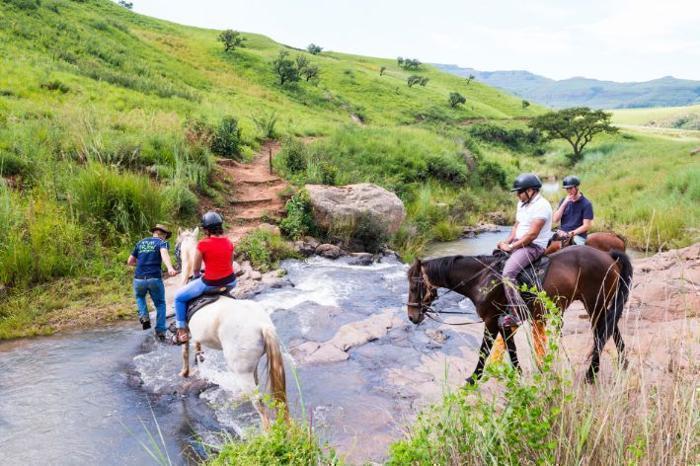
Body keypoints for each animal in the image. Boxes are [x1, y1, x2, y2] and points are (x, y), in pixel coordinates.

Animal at [175, 229, 288, 426]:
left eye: (177, 243)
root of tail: (262, 325)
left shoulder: (186, 332)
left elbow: (184, 351)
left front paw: (185, 372)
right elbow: (197, 347)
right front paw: (199, 358)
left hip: (242, 371)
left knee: (259, 405)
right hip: (252, 365)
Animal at [404, 246, 636, 384]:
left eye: (415, 286)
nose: (412, 316)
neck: (482, 279)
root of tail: (608, 255)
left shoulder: (491, 320)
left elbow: (484, 350)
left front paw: (474, 378)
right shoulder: (504, 322)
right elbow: (511, 349)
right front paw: (519, 375)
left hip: (595, 303)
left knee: (601, 334)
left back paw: (591, 374)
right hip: (600, 304)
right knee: (611, 331)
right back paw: (621, 364)